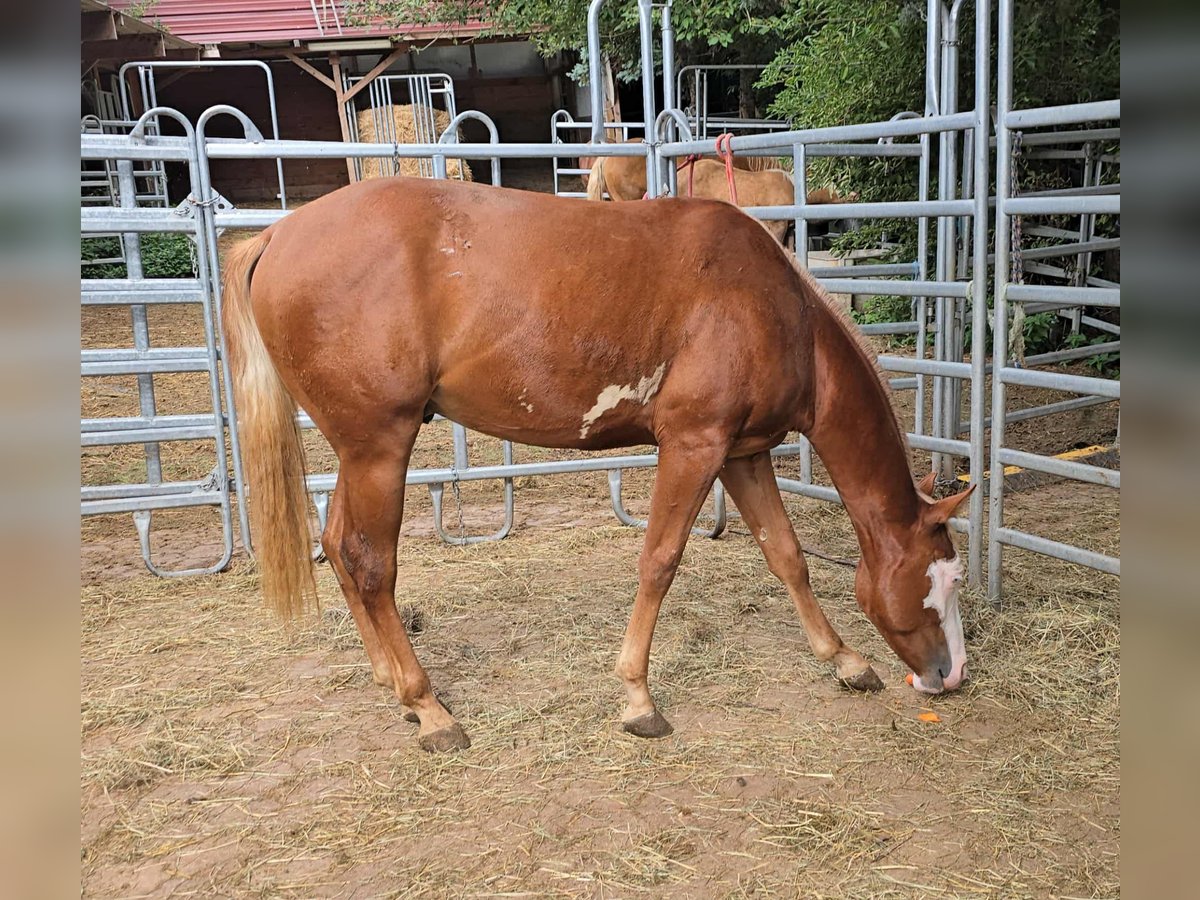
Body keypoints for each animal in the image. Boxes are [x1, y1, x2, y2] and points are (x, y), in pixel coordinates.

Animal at [222, 176, 972, 753]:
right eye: (939, 583)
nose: (952, 675)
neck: (775, 309)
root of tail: (277, 236)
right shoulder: (694, 444)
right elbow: (660, 561)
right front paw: (638, 698)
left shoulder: (743, 452)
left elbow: (786, 555)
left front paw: (845, 660)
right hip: (379, 447)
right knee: (370, 562)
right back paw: (429, 708)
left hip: (360, 454)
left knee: (337, 548)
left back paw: (394, 688)